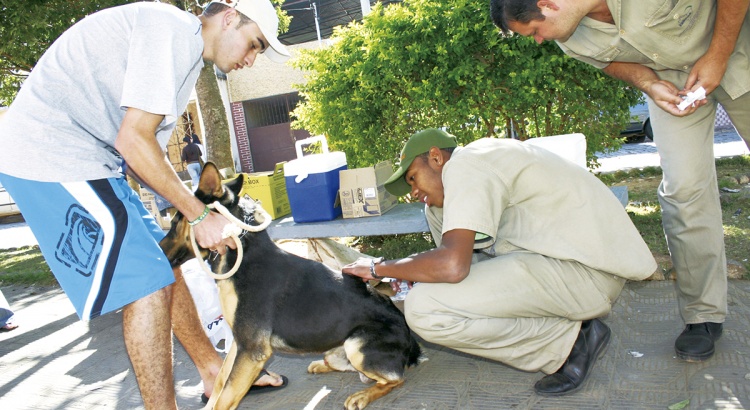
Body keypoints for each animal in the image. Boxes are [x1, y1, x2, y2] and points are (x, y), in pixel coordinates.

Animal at [161, 163, 424, 410]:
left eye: (175, 222)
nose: (159, 252)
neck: (241, 252)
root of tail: (410, 341)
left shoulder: (252, 350)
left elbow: (225, 397)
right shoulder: (240, 342)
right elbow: (220, 384)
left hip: (357, 345)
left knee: (394, 379)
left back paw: (361, 396)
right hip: (339, 350)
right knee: (352, 369)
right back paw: (320, 366)